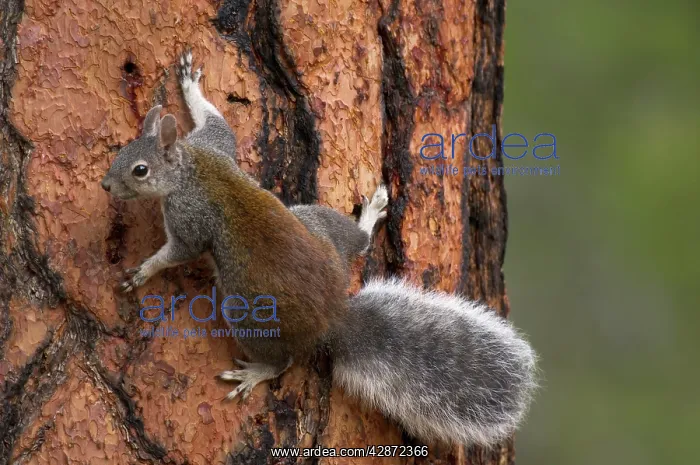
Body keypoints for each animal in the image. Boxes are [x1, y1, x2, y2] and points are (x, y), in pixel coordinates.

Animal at [100, 50, 538, 447]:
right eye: (121, 153)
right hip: (317, 224)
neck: (189, 169)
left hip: (248, 312)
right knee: (357, 243)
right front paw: (191, 86)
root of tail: (333, 316)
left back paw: (255, 372)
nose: (105, 185)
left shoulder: (191, 218)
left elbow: (179, 252)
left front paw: (142, 272)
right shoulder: (214, 147)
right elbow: (218, 122)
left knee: (283, 361)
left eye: (140, 170)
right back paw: (370, 217)